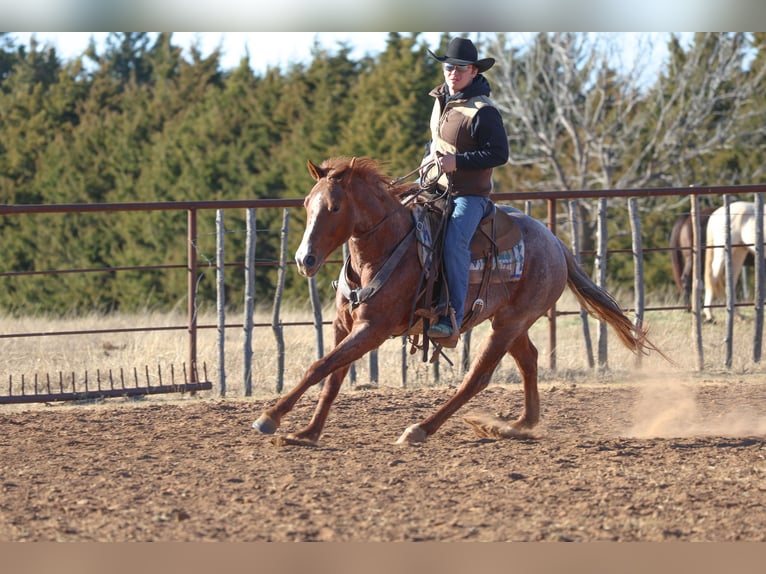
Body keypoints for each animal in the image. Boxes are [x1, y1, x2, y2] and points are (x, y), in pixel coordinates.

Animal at [252, 157, 664, 446]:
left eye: (335, 207)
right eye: (307, 203)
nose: (304, 259)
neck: (383, 249)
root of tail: (555, 243)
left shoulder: (373, 329)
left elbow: (320, 367)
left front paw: (271, 417)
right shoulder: (344, 325)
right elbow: (331, 375)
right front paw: (307, 433)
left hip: (510, 323)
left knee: (477, 377)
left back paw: (420, 429)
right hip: (510, 320)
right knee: (529, 361)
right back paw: (517, 426)